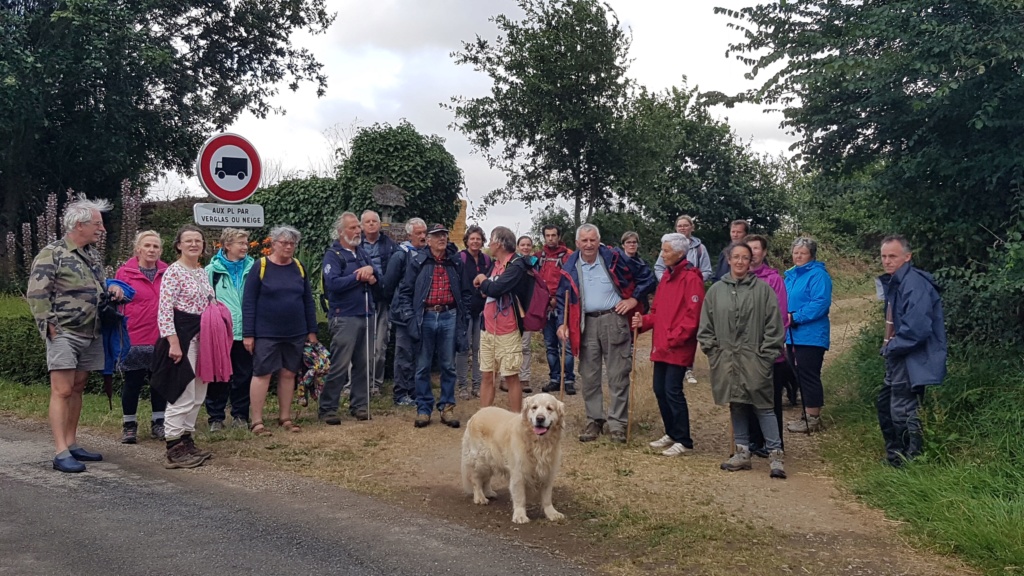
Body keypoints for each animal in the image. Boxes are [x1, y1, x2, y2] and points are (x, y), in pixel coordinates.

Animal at [460, 391, 565, 522]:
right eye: (534, 407)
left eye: (550, 408)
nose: (540, 418)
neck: (538, 443)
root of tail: (477, 413)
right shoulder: (518, 473)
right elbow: (520, 497)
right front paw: (520, 515)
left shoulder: (548, 472)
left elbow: (547, 497)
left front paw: (552, 513)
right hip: (480, 460)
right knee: (476, 479)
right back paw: (480, 497)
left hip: (492, 459)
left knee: (487, 478)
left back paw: (489, 492)